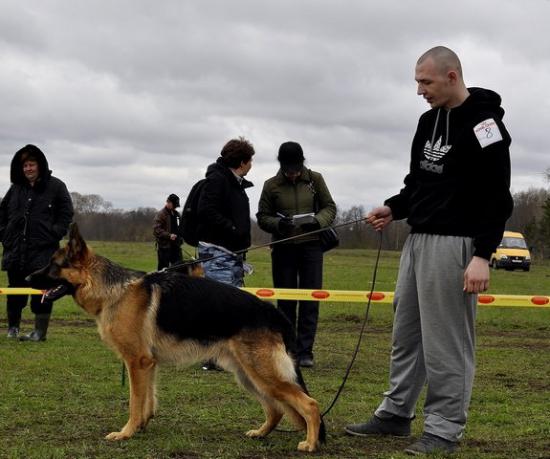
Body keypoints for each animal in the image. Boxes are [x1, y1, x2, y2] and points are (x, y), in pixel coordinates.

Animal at [28, 225, 326, 454]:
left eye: (54, 265)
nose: (27, 277)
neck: (112, 290)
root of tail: (274, 313)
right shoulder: (147, 364)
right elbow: (147, 400)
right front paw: (141, 426)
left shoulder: (137, 362)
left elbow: (134, 402)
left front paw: (125, 433)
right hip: (248, 376)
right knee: (276, 409)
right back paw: (261, 433)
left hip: (262, 374)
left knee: (310, 405)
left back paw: (310, 444)